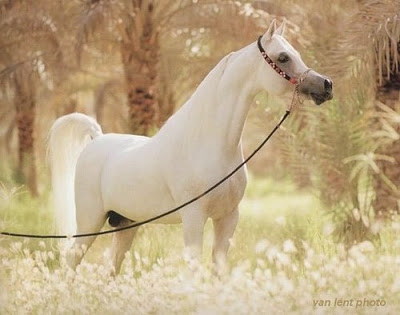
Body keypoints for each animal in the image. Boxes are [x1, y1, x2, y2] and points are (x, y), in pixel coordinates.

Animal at [48, 21, 332, 276]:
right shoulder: (194, 218)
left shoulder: (228, 217)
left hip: (127, 224)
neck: (210, 145)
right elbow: (195, 270)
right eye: (283, 57)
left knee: (111, 270)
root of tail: (96, 138)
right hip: (90, 222)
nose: (326, 85)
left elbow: (219, 270)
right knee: (71, 263)